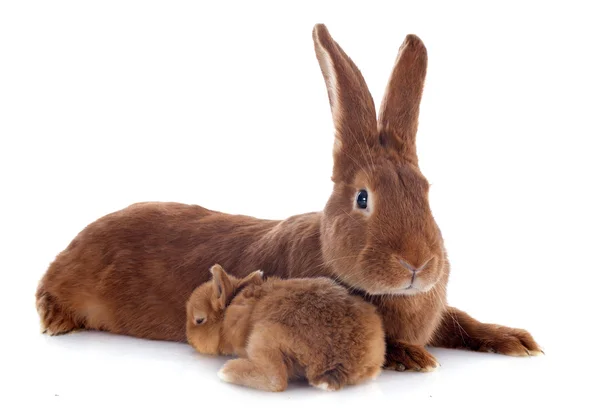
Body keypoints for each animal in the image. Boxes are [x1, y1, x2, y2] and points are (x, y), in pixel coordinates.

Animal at [35, 24, 540, 372]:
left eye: (427, 192)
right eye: (363, 198)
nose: (417, 264)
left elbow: (463, 321)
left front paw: (516, 340)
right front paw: (414, 357)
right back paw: (54, 318)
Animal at [185, 266, 386, 394]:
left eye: (199, 320)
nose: (189, 339)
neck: (233, 304)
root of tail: (339, 361)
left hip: (263, 337)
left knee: (277, 380)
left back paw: (227, 370)